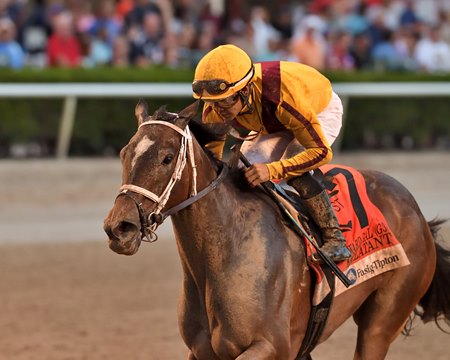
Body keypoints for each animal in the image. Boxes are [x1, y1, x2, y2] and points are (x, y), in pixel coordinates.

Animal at [103, 99, 450, 360]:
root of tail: (417, 213)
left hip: (383, 319)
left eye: (167, 157)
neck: (226, 253)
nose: (119, 227)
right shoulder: (202, 351)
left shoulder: (272, 346)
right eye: (124, 153)